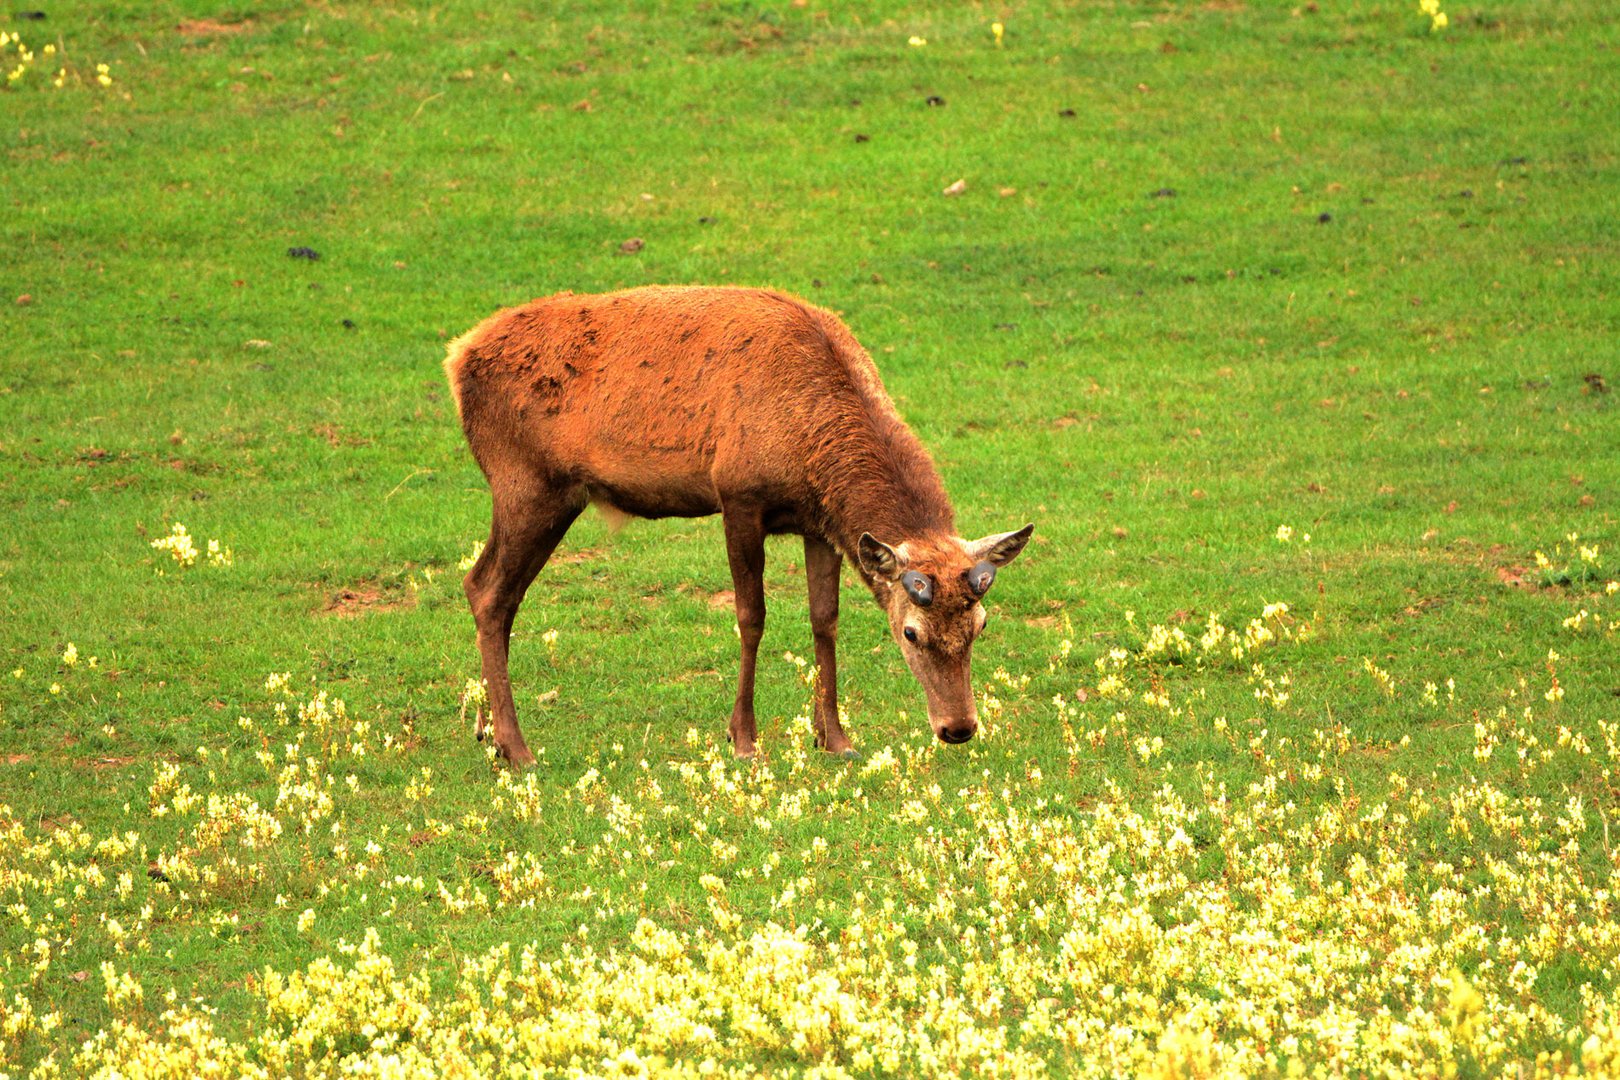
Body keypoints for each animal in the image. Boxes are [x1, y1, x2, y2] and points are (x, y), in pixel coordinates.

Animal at [443, 283, 1030, 764]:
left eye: (980, 625)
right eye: (910, 632)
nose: (958, 728)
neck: (812, 447)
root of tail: (456, 357)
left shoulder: (819, 525)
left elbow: (825, 619)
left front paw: (834, 737)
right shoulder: (738, 495)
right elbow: (752, 616)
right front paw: (743, 738)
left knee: (483, 585)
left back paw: (487, 732)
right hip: (526, 482)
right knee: (491, 591)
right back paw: (517, 748)